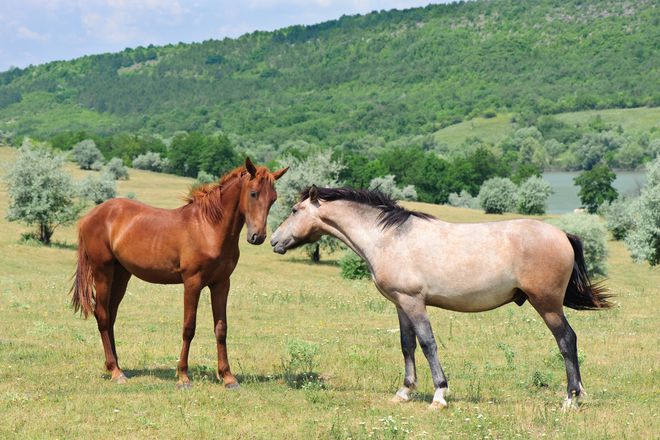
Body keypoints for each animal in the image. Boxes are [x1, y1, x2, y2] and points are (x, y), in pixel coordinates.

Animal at [71, 158, 286, 388]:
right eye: (253, 193)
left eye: (273, 198)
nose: (258, 237)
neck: (209, 227)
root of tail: (90, 216)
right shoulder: (192, 283)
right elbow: (188, 328)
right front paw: (183, 376)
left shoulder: (221, 284)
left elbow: (221, 328)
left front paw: (228, 377)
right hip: (103, 272)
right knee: (102, 315)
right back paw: (115, 371)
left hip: (121, 275)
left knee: (111, 315)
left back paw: (115, 366)